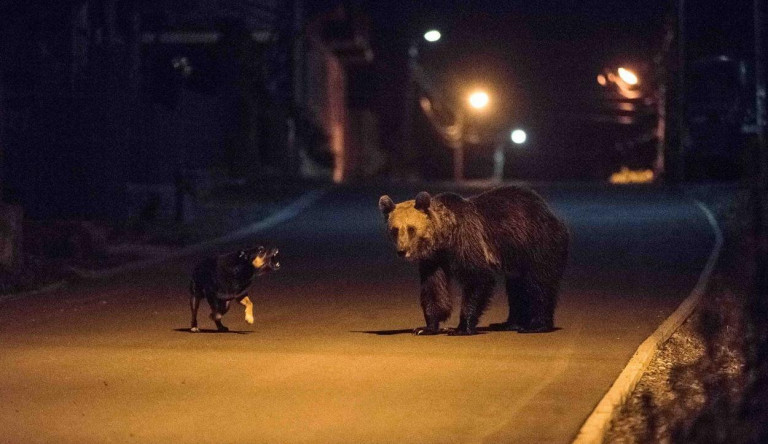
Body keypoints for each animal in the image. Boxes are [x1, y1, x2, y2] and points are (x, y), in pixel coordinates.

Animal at [380, 186, 568, 334]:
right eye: (395, 230)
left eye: (411, 229)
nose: (402, 251)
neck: (444, 236)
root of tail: (551, 213)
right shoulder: (434, 259)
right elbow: (434, 287)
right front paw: (426, 327)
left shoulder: (467, 240)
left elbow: (477, 278)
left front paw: (461, 327)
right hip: (515, 258)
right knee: (516, 287)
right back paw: (509, 323)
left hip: (536, 244)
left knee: (538, 283)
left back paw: (535, 325)